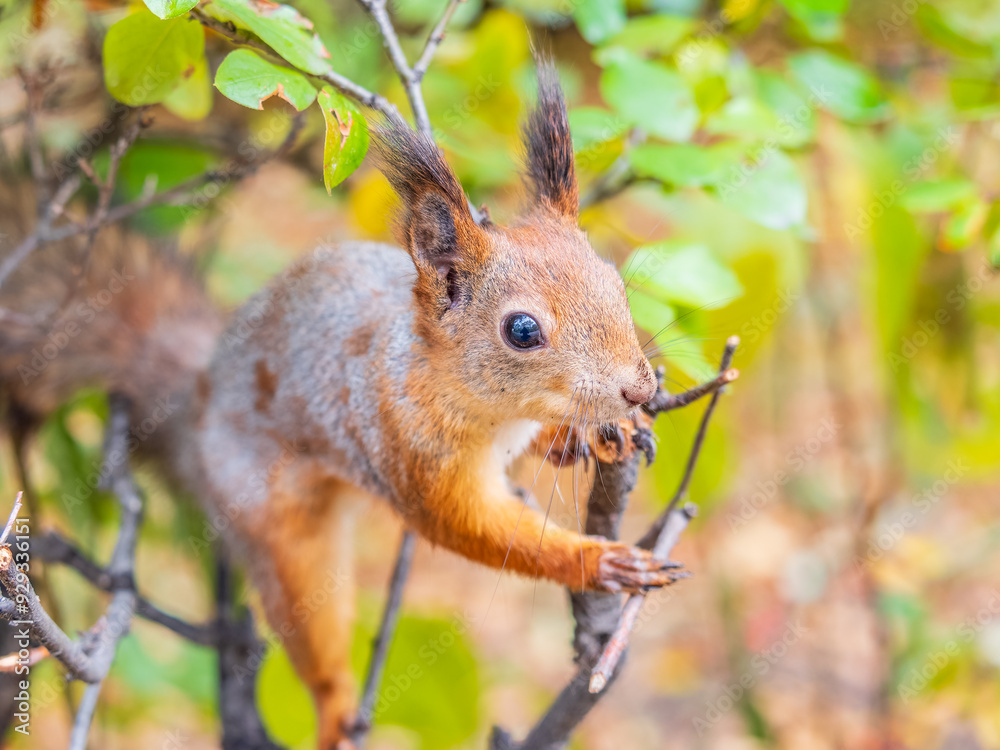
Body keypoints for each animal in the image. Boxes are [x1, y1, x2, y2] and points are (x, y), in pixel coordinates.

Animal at [0, 61, 684, 748]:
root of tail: (199, 398)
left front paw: (598, 434)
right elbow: (479, 532)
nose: (640, 389)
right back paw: (335, 715)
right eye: (522, 331)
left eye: (616, 282)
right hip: (282, 531)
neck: (490, 410)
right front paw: (601, 561)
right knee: (315, 634)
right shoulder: (411, 451)